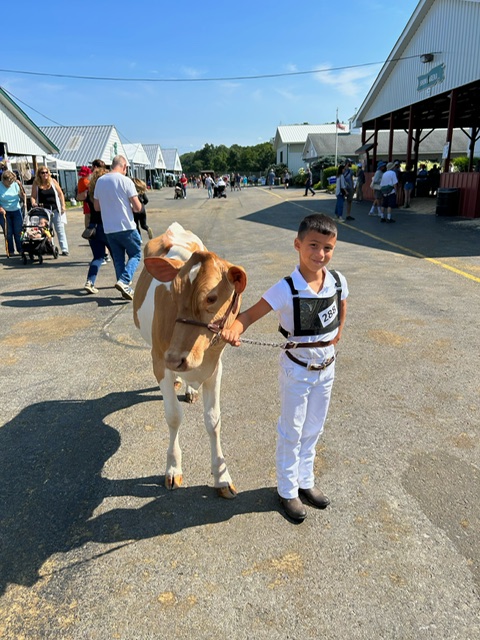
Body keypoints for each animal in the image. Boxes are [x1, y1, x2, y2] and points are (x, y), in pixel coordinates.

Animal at [134, 222, 248, 498]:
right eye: (172, 294)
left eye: (212, 297)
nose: (175, 358)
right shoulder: (159, 361)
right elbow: (173, 416)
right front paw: (173, 468)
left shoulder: (215, 368)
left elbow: (214, 421)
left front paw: (221, 475)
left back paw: (189, 389)